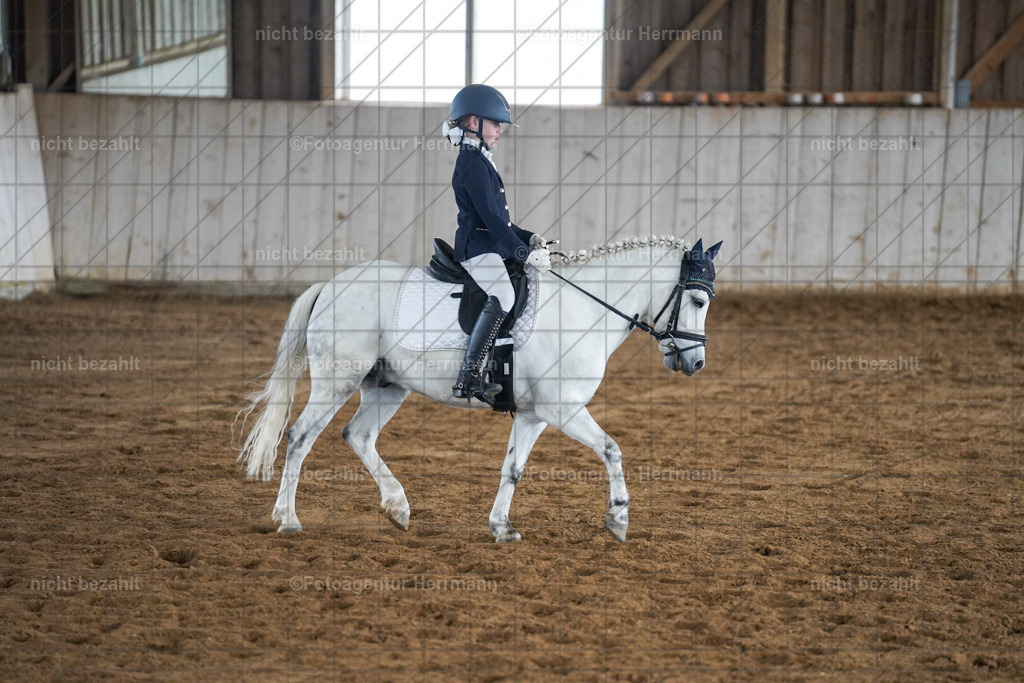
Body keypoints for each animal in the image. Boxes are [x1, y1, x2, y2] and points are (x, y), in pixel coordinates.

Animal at [236, 235, 722, 542]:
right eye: (698, 300)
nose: (696, 363)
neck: (585, 309)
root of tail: (332, 286)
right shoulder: (562, 409)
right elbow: (611, 449)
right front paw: (618, 518)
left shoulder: (533, 415)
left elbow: (513, 469)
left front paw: (501, 527)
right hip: (338, 379)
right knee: (300, 437)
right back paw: (288, 520)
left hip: (386, 385)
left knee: (358, 435)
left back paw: (397, 507)